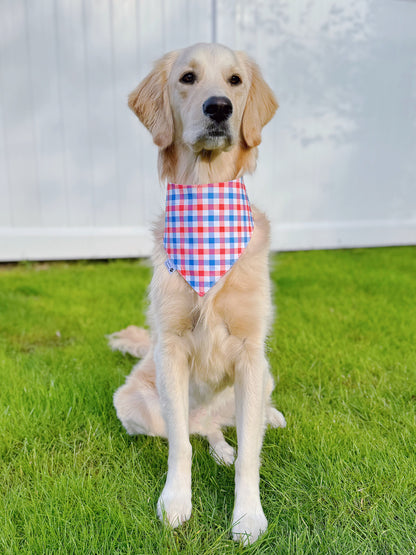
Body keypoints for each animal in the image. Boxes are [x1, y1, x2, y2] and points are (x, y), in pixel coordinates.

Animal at [108, 42, 286, 544]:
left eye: (235, 81)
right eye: (187, 78)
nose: (219, 108)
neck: (206, 210)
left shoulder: (251, 351)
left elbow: (251, 455)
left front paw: (247, 516)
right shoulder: (170, 348)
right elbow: (180, 447)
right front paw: (176, 504)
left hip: (265, 374)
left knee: (236, 425)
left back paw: (261, 423)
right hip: (132, 403)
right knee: (195, 429)